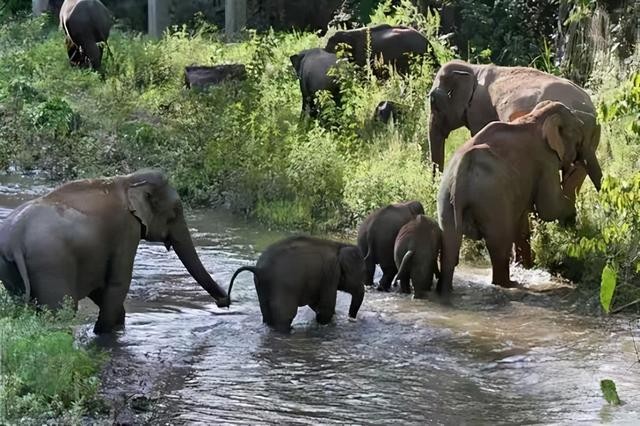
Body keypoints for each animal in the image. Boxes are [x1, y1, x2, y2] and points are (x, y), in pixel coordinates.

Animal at [0, 170, 229, 334]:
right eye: (174, 213)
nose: (223, 303)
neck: (128, 181)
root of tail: (16, 237)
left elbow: (101, 289)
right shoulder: (126, 230)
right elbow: (118, 283)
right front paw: (103, 334)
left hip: (10, 267)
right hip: (51, 264)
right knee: (60, 311)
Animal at [227, 236, 366, 333]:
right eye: (361, 275)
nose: (352, 319)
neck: (339, 246)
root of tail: (259, 269)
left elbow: (316, 304)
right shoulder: (330, 274)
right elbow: (326, 308)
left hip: (260, 286)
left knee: (267, 314)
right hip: (282, 287)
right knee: (285, 316)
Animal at [437, 101, 595, 294]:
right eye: (579, 138)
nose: (577, 162)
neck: (538, 116)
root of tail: (461, 170)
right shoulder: (546, 161)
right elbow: (549, 208)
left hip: (446, 198)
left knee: (450, 243)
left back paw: (446, 290)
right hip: (492, 198)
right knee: (499, 243)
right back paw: (510, 284)